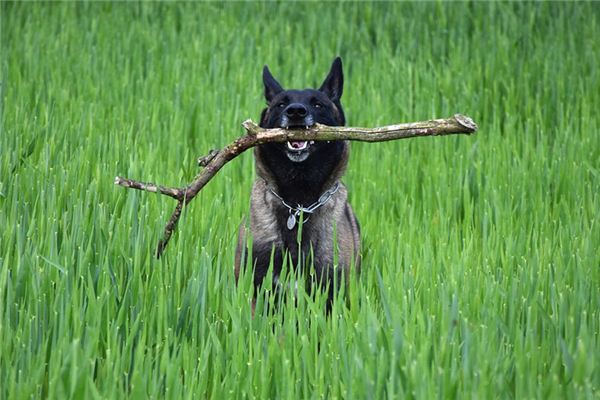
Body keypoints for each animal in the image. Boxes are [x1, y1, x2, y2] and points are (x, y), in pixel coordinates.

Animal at [234, 57, 358, 310]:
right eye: (281, 104)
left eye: (318, 104)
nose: (296, 112)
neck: (298, 201)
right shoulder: (256, 291)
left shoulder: (333, 293)